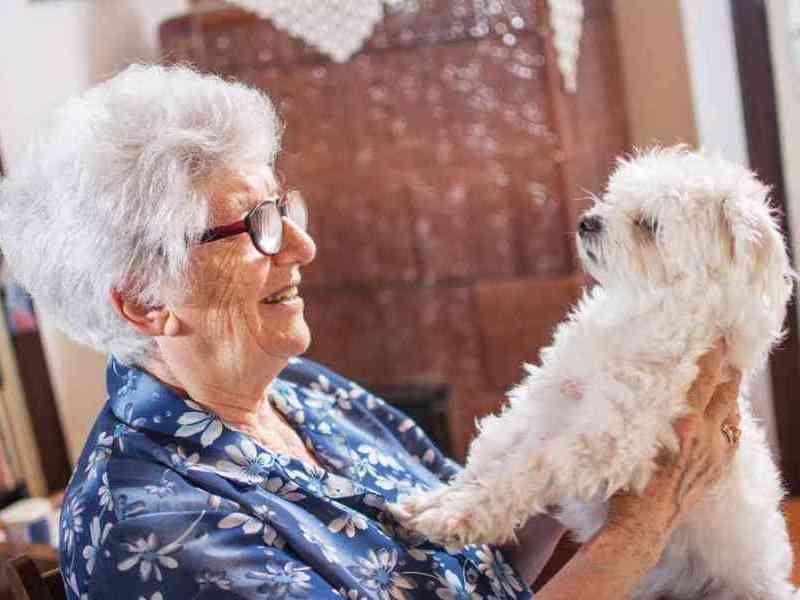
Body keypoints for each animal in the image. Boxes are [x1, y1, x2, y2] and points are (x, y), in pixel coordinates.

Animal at [396, 146, 796, 600]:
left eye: (648, 225)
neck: (639, 314)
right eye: (613, 196)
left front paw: (458, 517)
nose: (588, 221)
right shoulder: (545, 403)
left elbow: (525, 470)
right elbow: (491, 457)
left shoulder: (604, 439)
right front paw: (436, 500)